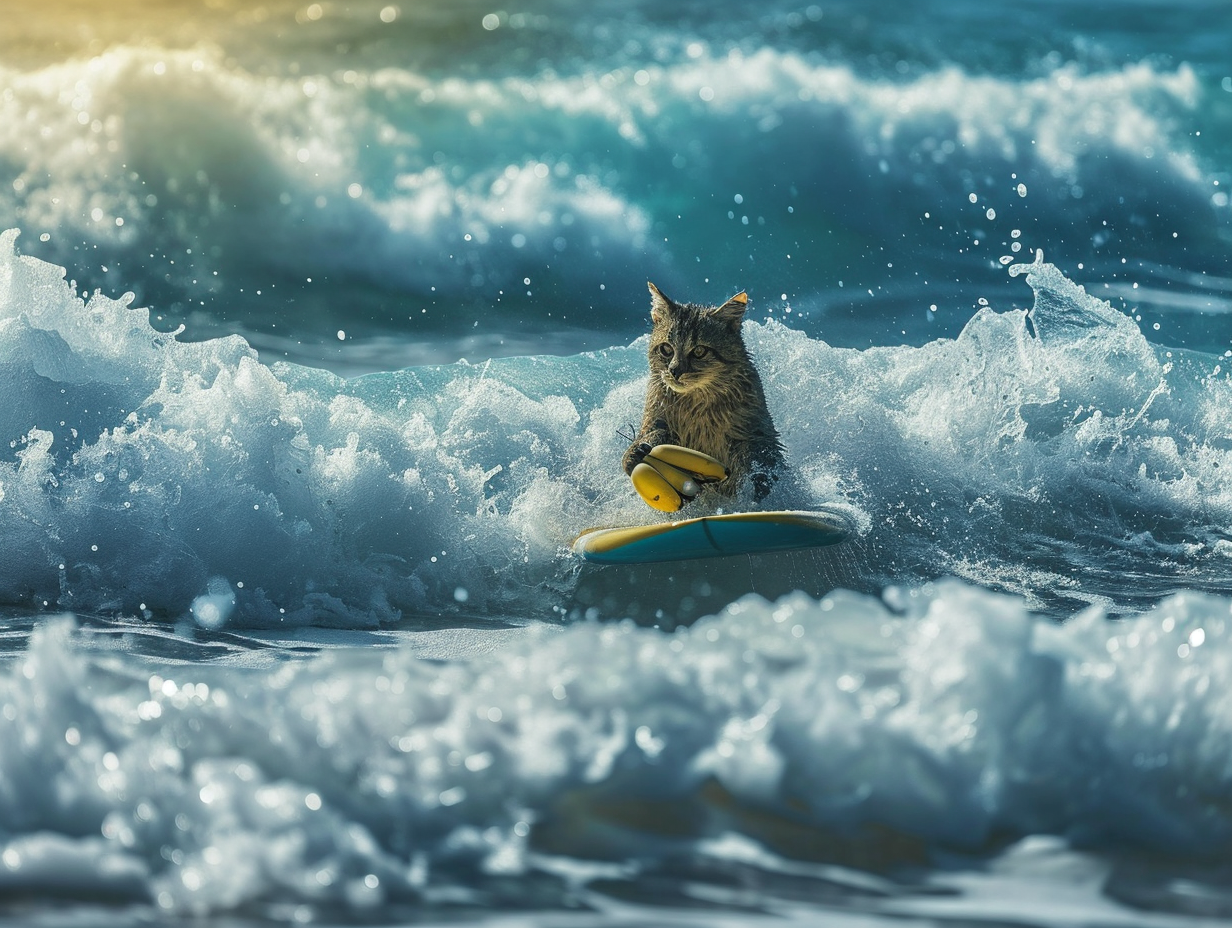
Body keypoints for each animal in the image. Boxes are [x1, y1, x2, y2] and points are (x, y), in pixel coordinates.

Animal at [620, 280, 783, 500]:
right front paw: (635, 452)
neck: (696, 405)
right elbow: (652, 433)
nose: (674, 371)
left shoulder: (757, 434)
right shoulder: (655, 417)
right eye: (666, 349)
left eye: (699, 351)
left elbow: (762, 462)